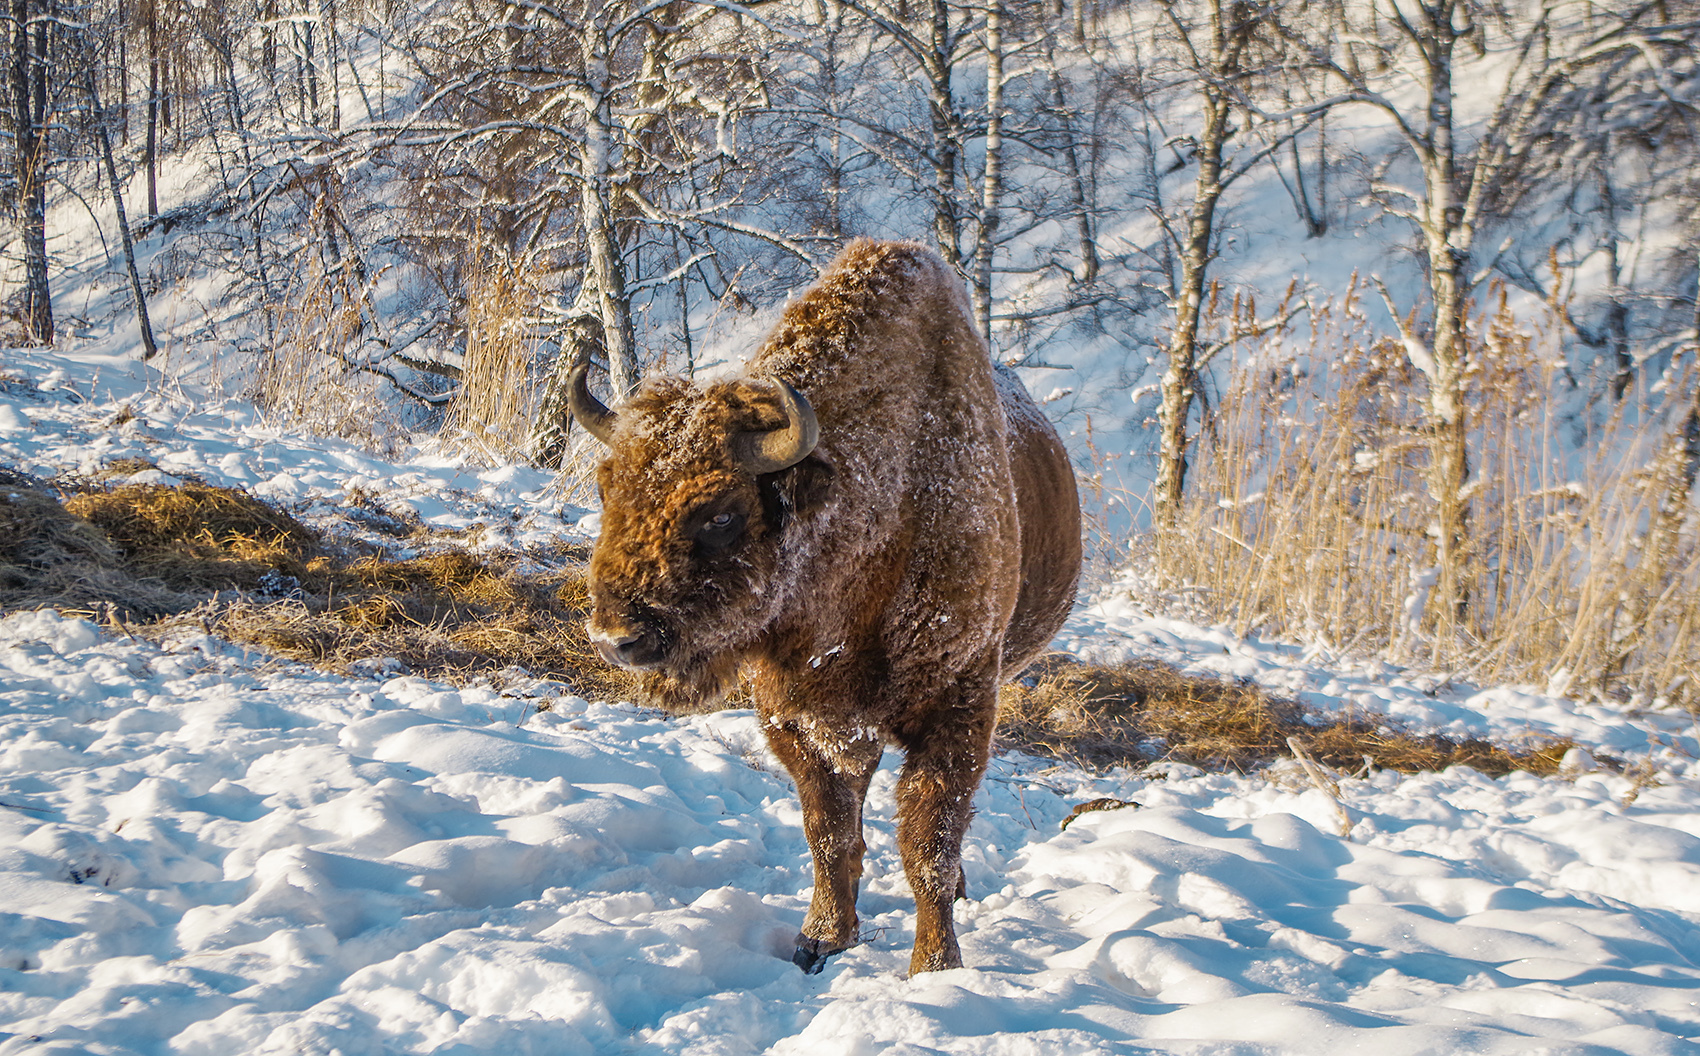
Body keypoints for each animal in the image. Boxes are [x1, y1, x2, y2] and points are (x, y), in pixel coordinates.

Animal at [571, 238, 1074, 972]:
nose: (617, 638)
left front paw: (935, 965)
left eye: (721, 513)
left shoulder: (958, 702)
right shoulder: (799, 714)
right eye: (607, 488)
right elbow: (830, 829)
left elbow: (927, 841)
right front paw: (821, 939)